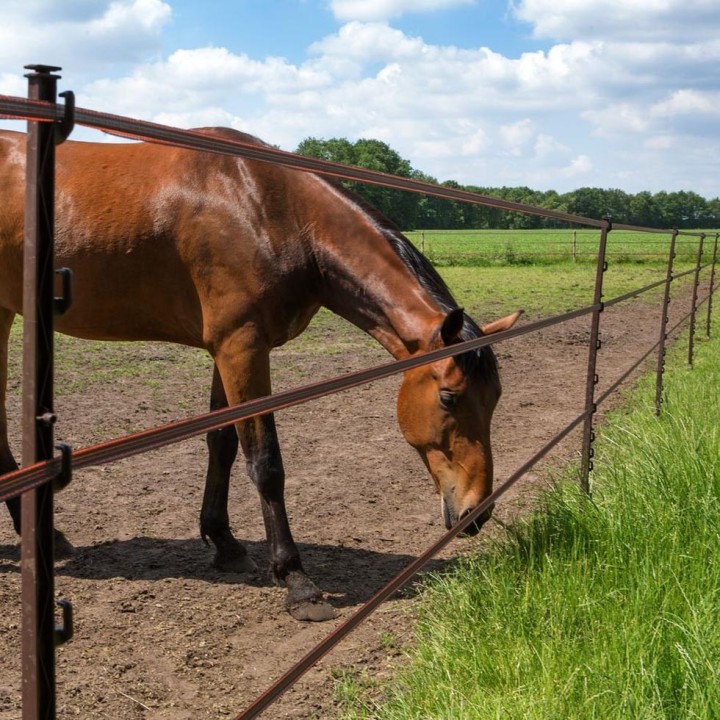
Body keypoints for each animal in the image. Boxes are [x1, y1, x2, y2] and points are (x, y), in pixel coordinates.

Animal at [0, 127, 520, 621]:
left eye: (495, 398)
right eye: (449, 397)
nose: (477, 511)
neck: (267, 207)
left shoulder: (226, 350)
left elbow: (223, 443)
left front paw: (224, 543)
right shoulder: (242, 348)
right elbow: (265, 462)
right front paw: (296, 580)